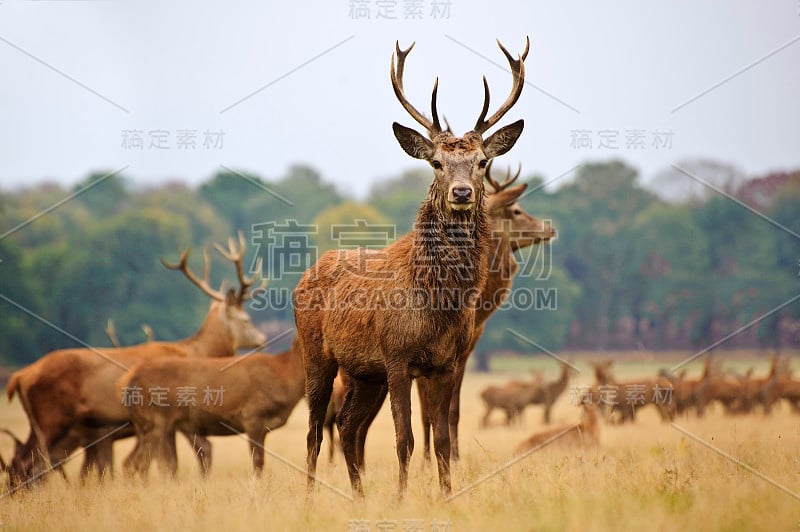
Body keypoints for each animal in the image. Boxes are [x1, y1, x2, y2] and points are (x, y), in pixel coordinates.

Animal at [119, 340, 304, 478]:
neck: (286, 377)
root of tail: (130, 381)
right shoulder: (252, 415)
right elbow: (258, 461)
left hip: (145, 424)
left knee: (133, 462)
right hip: (157, 419)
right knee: (140, 462)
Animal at [294, 38, 532, 498]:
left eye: (480, 161)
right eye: (436, 163)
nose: (461, 192)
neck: (438, 305)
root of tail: (304, 276)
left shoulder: (446, 362)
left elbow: (441, 439)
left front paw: (446, 495)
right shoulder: (397, 355)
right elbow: (405, 438)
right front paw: (403, 498)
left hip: (364, 372)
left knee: (347, 426)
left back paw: (359, 496)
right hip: (318, 354)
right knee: (314, 430)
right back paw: (312, 497)